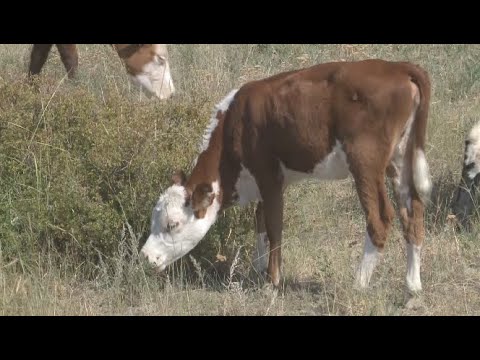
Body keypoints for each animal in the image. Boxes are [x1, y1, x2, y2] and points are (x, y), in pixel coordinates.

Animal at [141, 59, 434, 294]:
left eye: (172, 224)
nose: (146, 257)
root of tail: (397, 66)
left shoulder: (268, 174)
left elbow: (273, 225)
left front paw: (273, 280)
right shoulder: (265, 182)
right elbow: (259, 219)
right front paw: (258, 269)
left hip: (365, 161)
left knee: (380, 218)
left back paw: (358, 284)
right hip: (400, 159)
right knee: (413, 211)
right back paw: (413, 286)